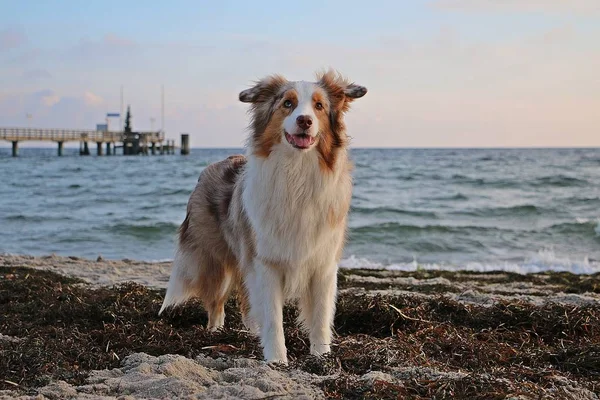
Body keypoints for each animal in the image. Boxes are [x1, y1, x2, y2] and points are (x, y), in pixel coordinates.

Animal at [158, 70, 366, 364]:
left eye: (319, 106)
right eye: (288, 104)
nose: (305, 120)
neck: (296, 173)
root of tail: (213, 165)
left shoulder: (323, 263)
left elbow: (321, 316)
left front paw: (321, 357)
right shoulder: (265, 261)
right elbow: (273, 317)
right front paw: (277, 360)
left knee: (246, 298)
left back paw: (250, 331)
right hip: (217, 260)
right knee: (216, 301)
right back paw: (215, 332)